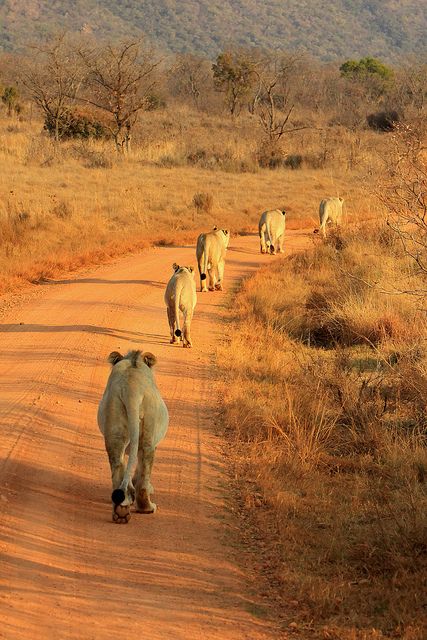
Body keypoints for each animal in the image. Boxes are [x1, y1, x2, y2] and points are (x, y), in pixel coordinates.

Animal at [98, 350, 170, 524]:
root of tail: (132, 387)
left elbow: (126, 469)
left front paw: (130, 493)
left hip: (114, 423)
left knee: (117, 465)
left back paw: (121, 510)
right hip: (149, 432)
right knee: (145, 465)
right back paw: (147, 507)